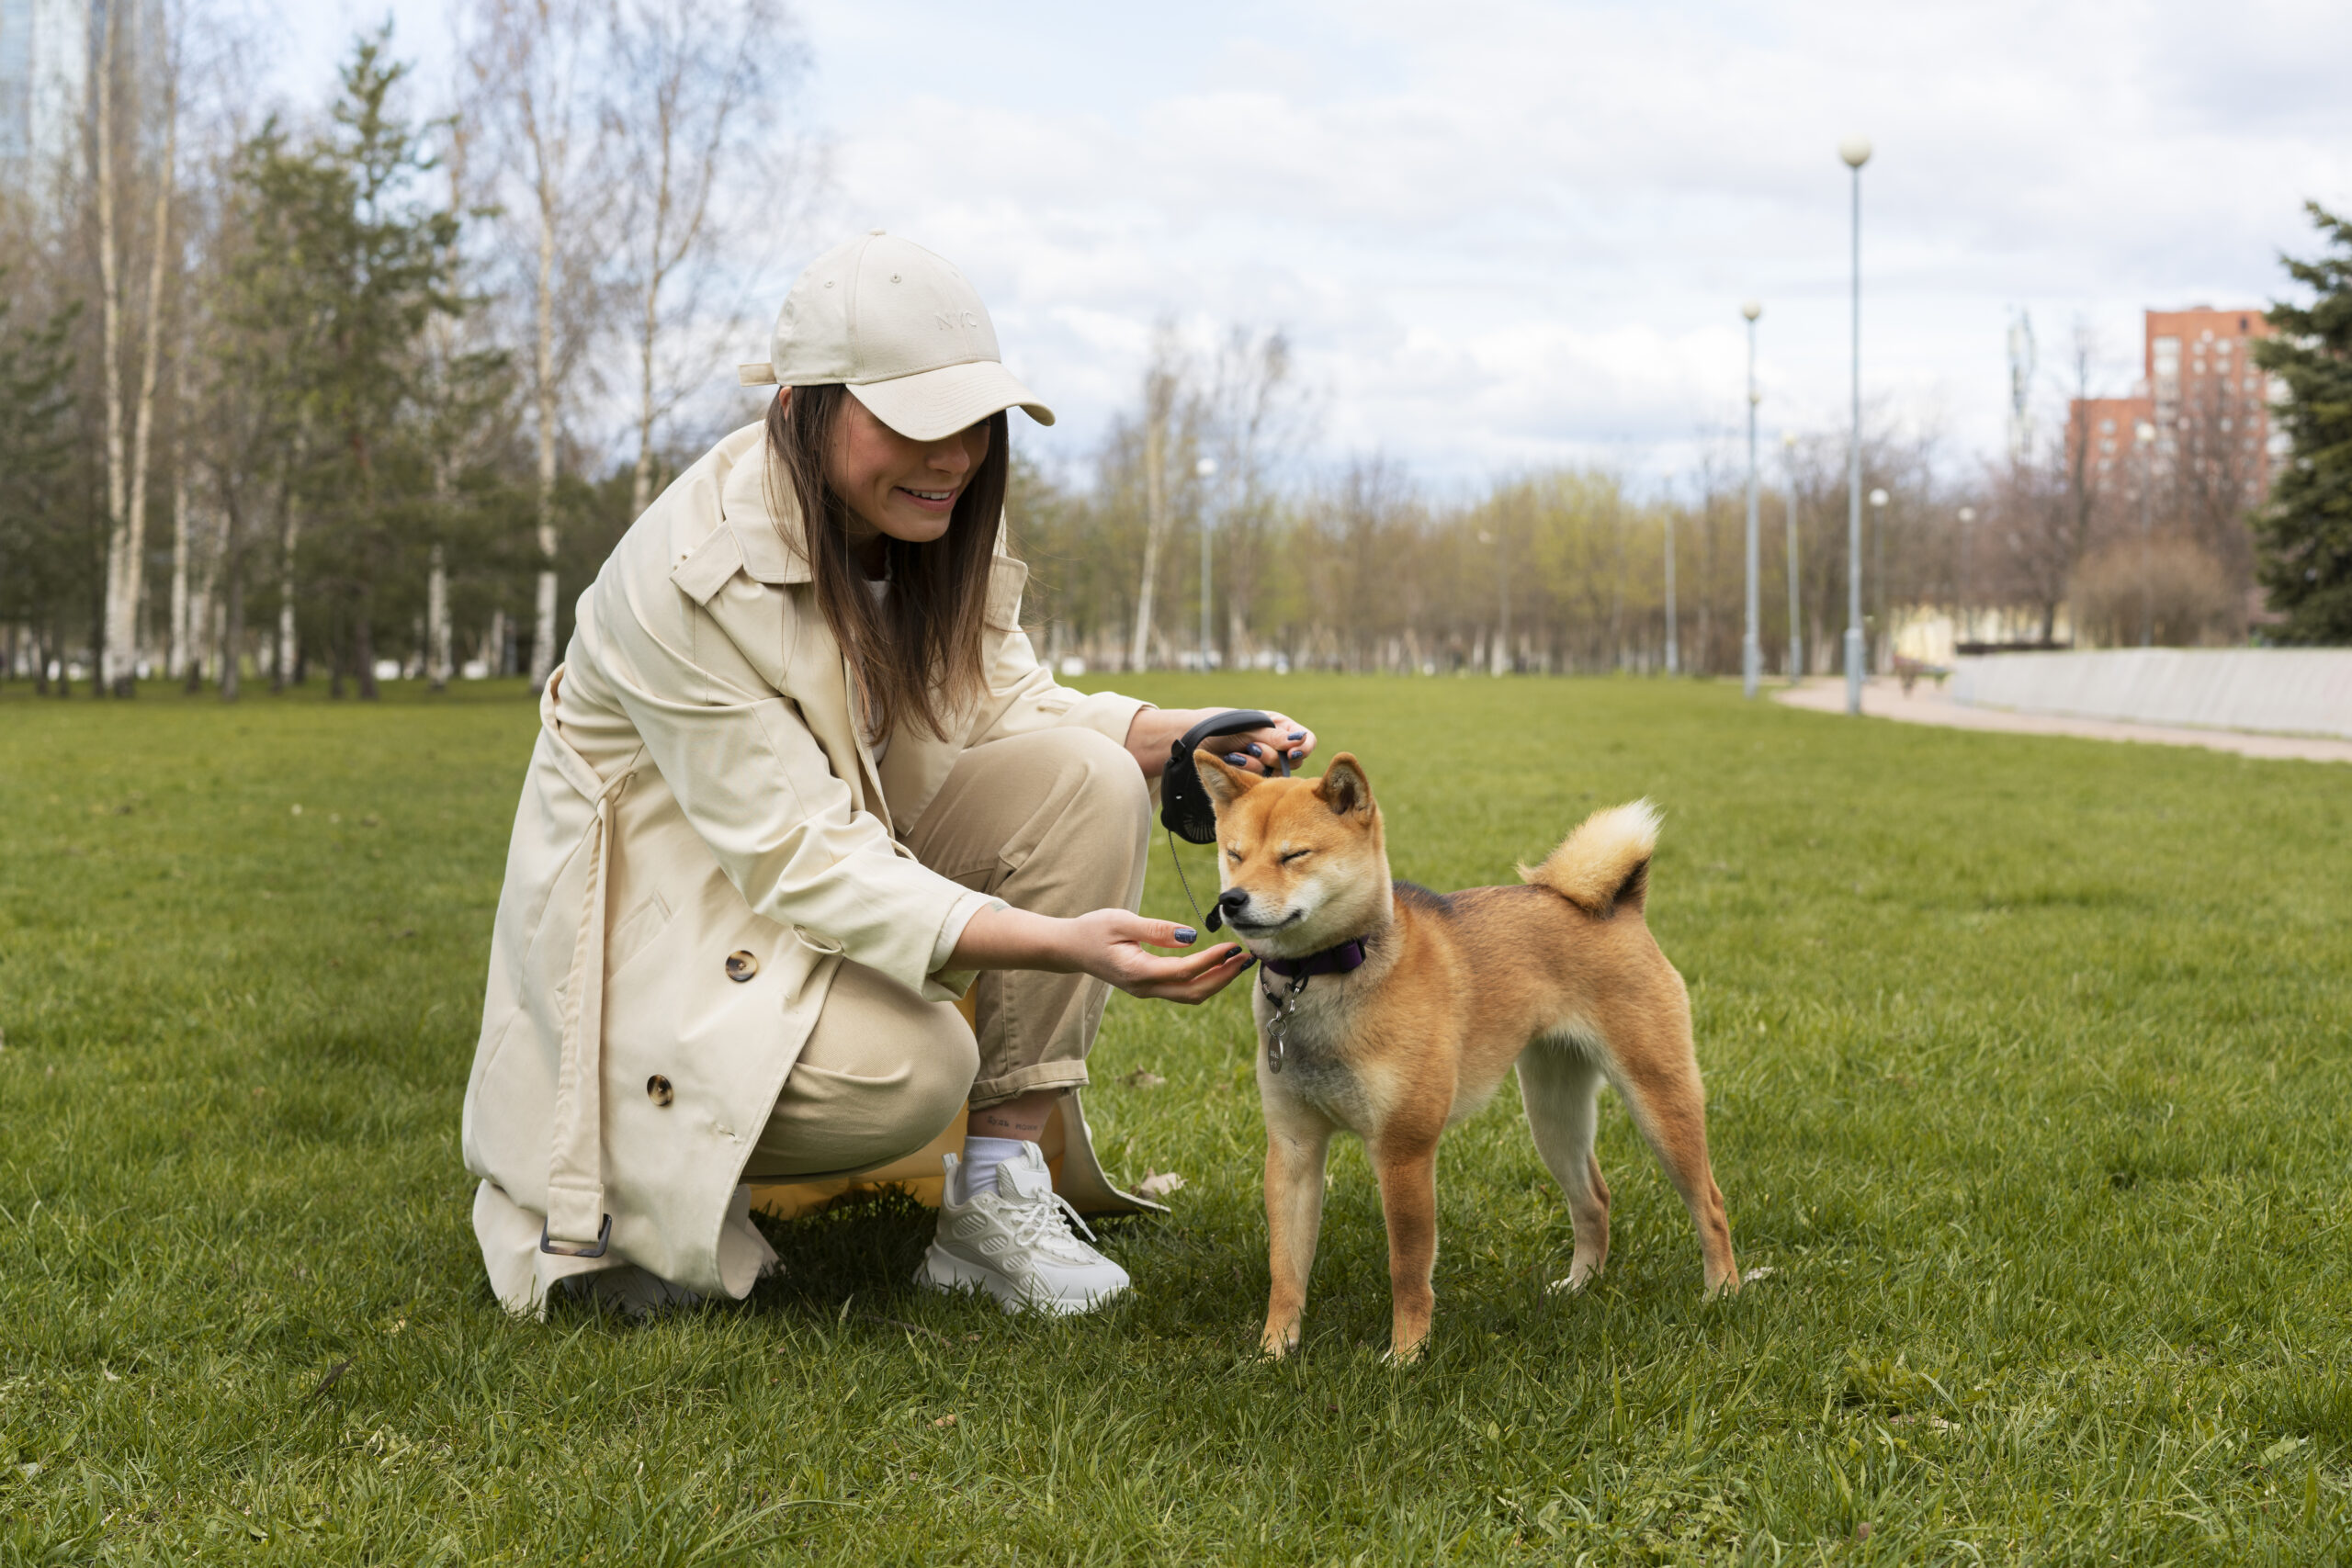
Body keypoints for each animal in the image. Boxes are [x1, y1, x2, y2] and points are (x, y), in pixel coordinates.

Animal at [1204, 751, 1740, 1363]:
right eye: (1234, 855)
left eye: (1294, 855)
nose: (1231, 900)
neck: (1321, 980)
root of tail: (1620, 906)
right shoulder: (1293, 1147)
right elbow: (1286, 1268)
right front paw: (1274, 1351)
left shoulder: (1404, 1152)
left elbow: (1408, 1268)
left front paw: (1406, 1356)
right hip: (1553, 1116)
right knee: (1595, 1199)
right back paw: (1580, 1285)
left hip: (1659, 1101)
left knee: (1710, 1203)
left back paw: (1722, 1293)